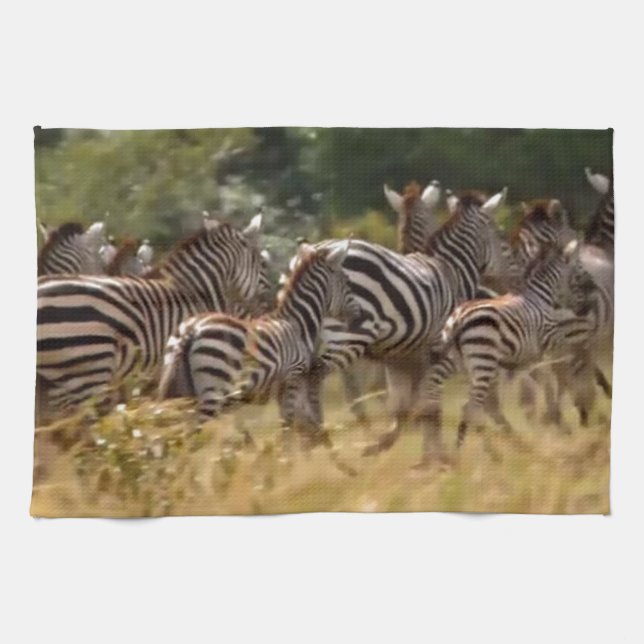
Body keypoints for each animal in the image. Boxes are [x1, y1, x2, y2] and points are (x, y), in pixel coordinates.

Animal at [157, 240, 362, 439]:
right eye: (347, 281)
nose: (358, 314)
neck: (297, 323)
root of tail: (192, 329)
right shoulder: (293, 376)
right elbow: (288, 426)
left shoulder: (281, 384)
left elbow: (292, 424)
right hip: (213, 389)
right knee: (191, 435)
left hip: (181, 388)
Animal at [414, 236, 587, 461]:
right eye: (578, 274)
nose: (584, 308)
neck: (539, 296)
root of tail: (459, 318)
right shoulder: (547, 343)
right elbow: (557, 375)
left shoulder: (525, 359)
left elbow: (539, 385)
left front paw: (550, 420)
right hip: (483, 361)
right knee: (472, 407)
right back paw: (475, 455)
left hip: (462, 361)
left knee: (463, 402)